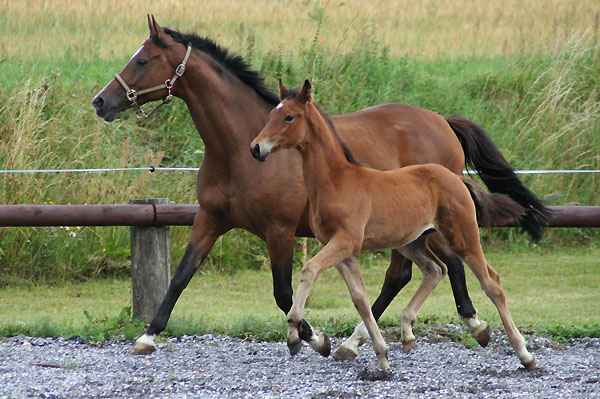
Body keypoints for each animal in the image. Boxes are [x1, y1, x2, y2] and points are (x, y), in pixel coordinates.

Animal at [248, 81, 536, 372]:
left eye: (288, 117)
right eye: (271, 113)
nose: (256, 148)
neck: (337, 180)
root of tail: (457, 178)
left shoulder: (346, 241)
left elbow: (309, 270)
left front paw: (295, 334)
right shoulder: (340, 249)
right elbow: (360, 299)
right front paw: (380, 354)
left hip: (462, 236)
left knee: (491, 282)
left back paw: (523, 353)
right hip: (412, 241)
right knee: (435, 269)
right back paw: (408, 331)